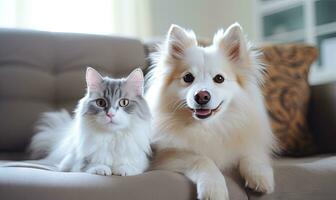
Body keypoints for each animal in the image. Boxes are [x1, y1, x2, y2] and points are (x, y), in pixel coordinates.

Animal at [146, 22, 276, 199]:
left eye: (219, 78)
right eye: (188, 78)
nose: (202, 96)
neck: (208, 127)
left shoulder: (249, 142)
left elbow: (251, 154)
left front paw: (261, 177)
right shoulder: (166, 156)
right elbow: (202, 159)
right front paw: (214, 189)